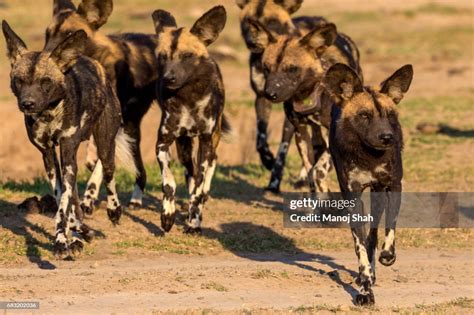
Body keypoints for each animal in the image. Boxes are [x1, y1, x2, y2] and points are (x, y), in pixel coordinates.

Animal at [3, 21, 133, 260]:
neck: (49, 114)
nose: (28, 104)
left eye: (45, 82)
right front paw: (73, 235)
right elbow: (63, 200)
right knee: (74, 197)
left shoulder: (68, 152)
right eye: (19, 81)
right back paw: (80, 232)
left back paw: (113, 210)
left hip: (105, 144)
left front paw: (62, 242)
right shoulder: (49, 156)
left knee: (108, 171)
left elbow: (63, 206)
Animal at [45, 0, 161, 210]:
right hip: (132, 128)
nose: (48, 57)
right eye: (47, 35)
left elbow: (99, 164)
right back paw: (136, 198)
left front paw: (89, 197)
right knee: (139, 167)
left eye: (69, 34)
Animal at [151, 6, 229, 233]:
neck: (188, 99)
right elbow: (168, 182)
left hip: (213, 139)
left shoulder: (205, 142)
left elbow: (199, 186)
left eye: (187, 56)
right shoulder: (162, 143)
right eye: (162, 57)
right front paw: (167, 214)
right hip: (184, 147)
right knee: (189, 172)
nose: (168, 78)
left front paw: (194, 221)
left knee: (208, 167)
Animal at [244, 18, 362, 194]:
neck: (308, 96)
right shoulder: (300, 131)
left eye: (292, 69)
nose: (270, 94)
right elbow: (311, 172)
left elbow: (319, 170)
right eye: (266, 68)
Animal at [324, 63, 412, 306]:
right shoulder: (352, 197)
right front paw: (365, 290)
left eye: (390, 115)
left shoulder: (393, 186)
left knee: (374, 234)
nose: (388, 137)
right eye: (364, 116)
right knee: (368, 238)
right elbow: (360, 249)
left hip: (378, 195)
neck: (369, 157)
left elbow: (390, 227)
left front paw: (388, 255)